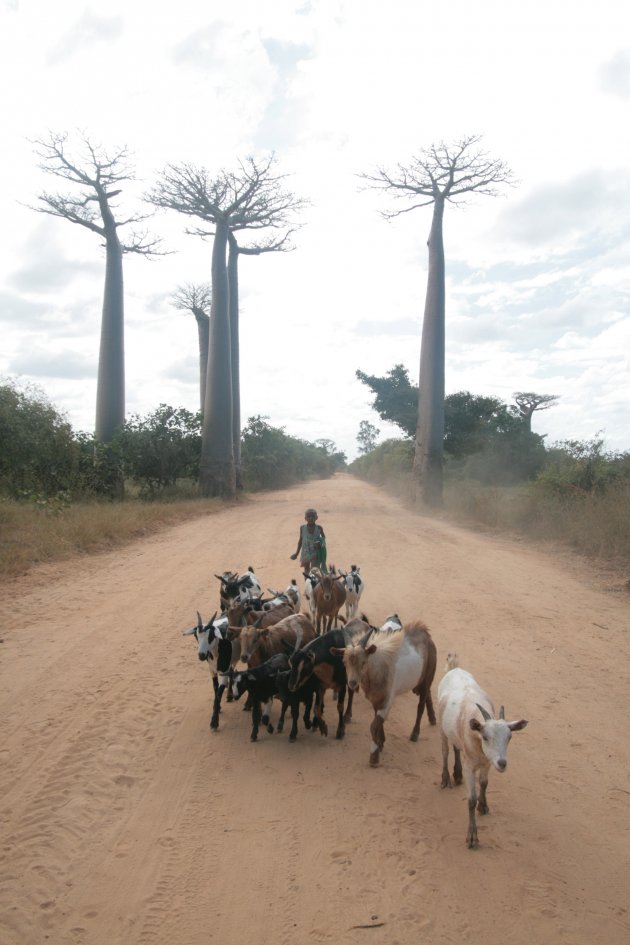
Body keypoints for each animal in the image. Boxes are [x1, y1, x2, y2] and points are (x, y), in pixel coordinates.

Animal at [440, 656, 532, 848]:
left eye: (509, 737)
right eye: (485, 737)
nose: (502, 763)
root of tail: (455, 668)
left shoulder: (487, 762)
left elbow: (484, 783)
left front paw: (483, 806)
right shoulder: (471, 765)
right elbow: (471, 800)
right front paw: (472, 837)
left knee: (456, 746)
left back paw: (457, 774)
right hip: (441, 728)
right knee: (445, 751)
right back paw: (446, 778)